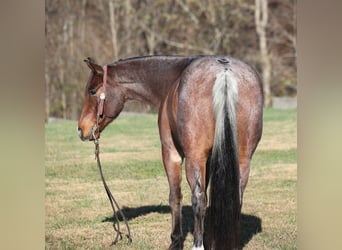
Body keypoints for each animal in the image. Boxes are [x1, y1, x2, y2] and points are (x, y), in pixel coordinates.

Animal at [77, 55, 264, 250]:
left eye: (92, 91)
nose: (81, 129)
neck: (173, 78)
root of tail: (225, 73)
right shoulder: (210, 158)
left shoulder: (171, 153)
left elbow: (175, 196)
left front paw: (175, 240)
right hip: (242, 159)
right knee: (235, 196)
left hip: (194, 157)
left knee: (198, 198)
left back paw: (197, 245)